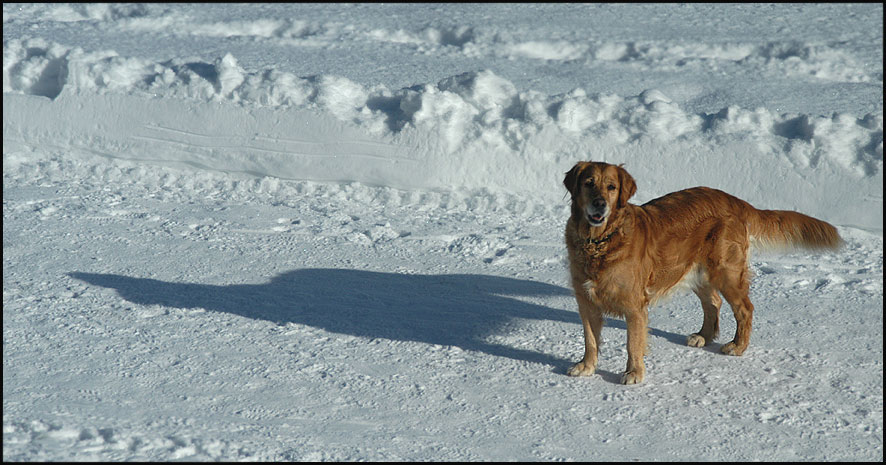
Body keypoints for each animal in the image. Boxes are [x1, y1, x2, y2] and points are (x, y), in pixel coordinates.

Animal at [564, 161, 844, 382]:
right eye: (589, 183)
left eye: (611, 187)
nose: (599, 204)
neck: (599, 241)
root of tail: (735, 200)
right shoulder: (585, 302)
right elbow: (590, 340)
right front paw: (586, 366)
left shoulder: (635, 306)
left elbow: (633, 343)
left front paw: (633, 373)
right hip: (698, 272)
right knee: (713, 303)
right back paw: (704, 336)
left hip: (726, 271)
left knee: (745, 308)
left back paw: (737, 346)